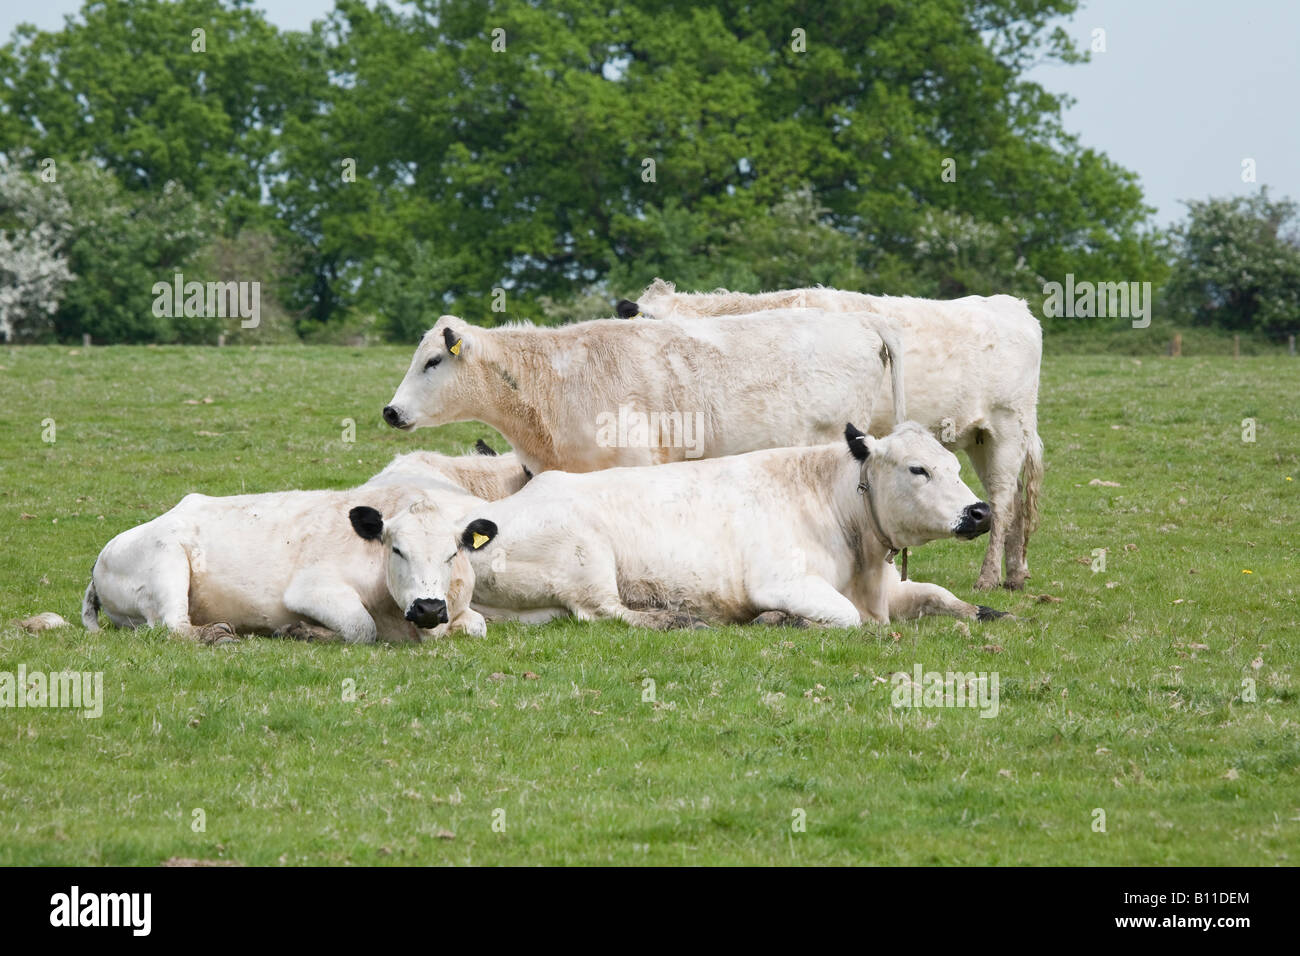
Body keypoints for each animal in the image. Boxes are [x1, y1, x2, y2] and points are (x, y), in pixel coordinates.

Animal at [462, 421, 1008, 629]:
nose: (979, 512)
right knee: (604, 612)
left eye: (956, 466)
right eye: (918, 469)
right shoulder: (782, 581)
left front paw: (988, 610)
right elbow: (847, 617)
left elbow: (940, 594)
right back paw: (676, 620)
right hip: (587, 558)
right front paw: (780, 619)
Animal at [621, 278, 1045, 590]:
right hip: (982, 439)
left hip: (1007, 429)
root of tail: (1012, 304)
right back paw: (1015, 573)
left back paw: (988, 578)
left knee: (1001, 503)